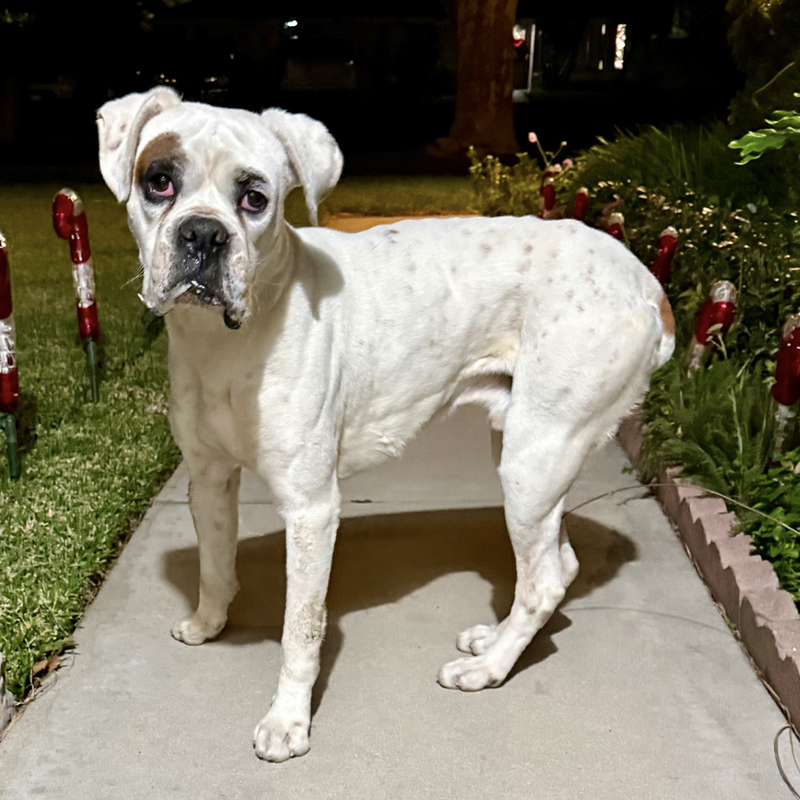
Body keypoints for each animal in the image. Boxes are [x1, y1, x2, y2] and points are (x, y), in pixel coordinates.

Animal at [96, 87, 675, 762]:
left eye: (255, 198)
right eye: (158, 181)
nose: (204, 235)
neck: (227, 340)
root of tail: (648, 283)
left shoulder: (312, 511)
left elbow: (300, 629)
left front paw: (289, 721)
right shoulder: (209, 477)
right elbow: (216, 565)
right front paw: (209, 624)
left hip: (534, 461)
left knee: (543, 584)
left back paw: (489, 668)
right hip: (531, 457)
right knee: (560, 567)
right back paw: (496, 639)